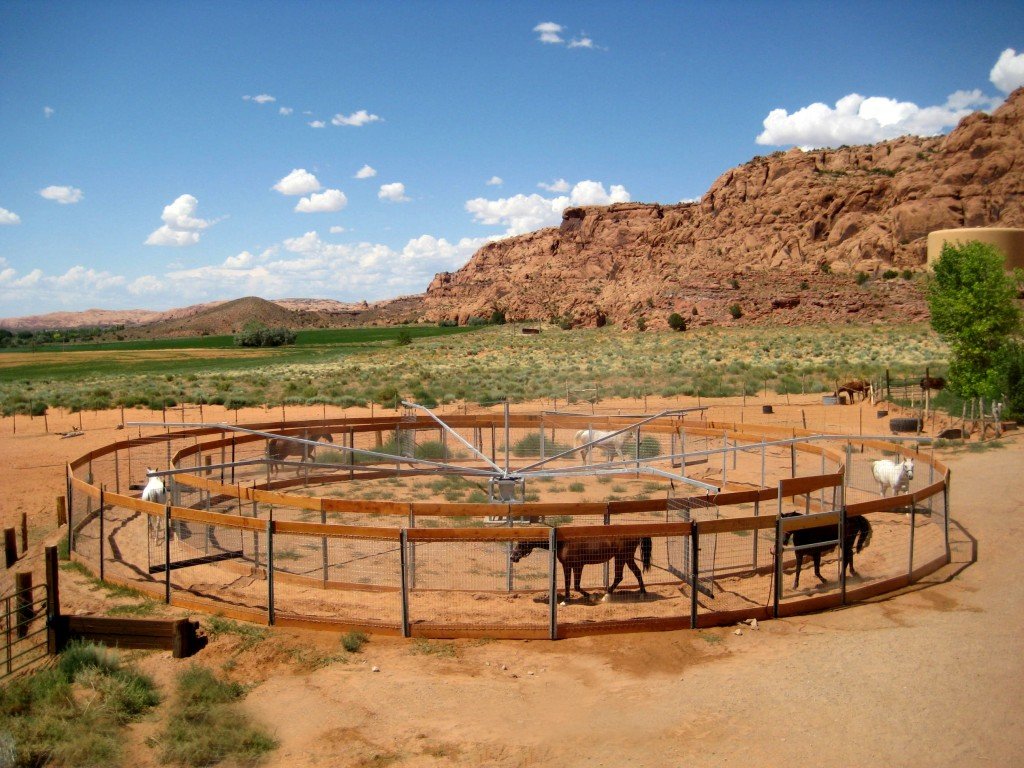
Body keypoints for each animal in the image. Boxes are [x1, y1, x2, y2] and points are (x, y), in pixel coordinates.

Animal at [510, 534, 652, 603]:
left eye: (521, 543)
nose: (512, 557)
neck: (563, 542)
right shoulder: (567, 565)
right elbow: (568, 584)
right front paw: (566, 600)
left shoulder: (578, 565)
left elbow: (576, 586)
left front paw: (591, 596)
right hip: (625, 557)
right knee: (634, 573)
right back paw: (642, 594)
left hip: (622, 557)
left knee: (620, 576)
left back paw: (606, 596)